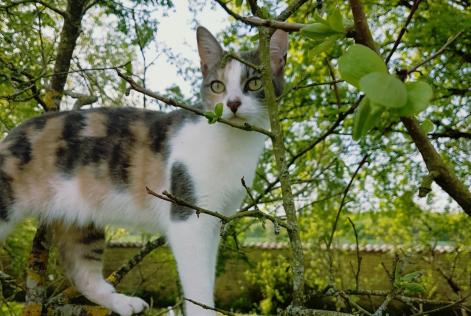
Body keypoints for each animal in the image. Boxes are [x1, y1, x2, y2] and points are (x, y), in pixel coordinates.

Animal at [0, 25, 288, 314]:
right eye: (217, 85)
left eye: (254, 83)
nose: (233, 104)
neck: (233, 143)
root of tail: (11, 135)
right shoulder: (187, 215)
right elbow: (198, 285)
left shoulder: (216, 218)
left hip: (80, 219)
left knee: (83, 274)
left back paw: (122, 302)